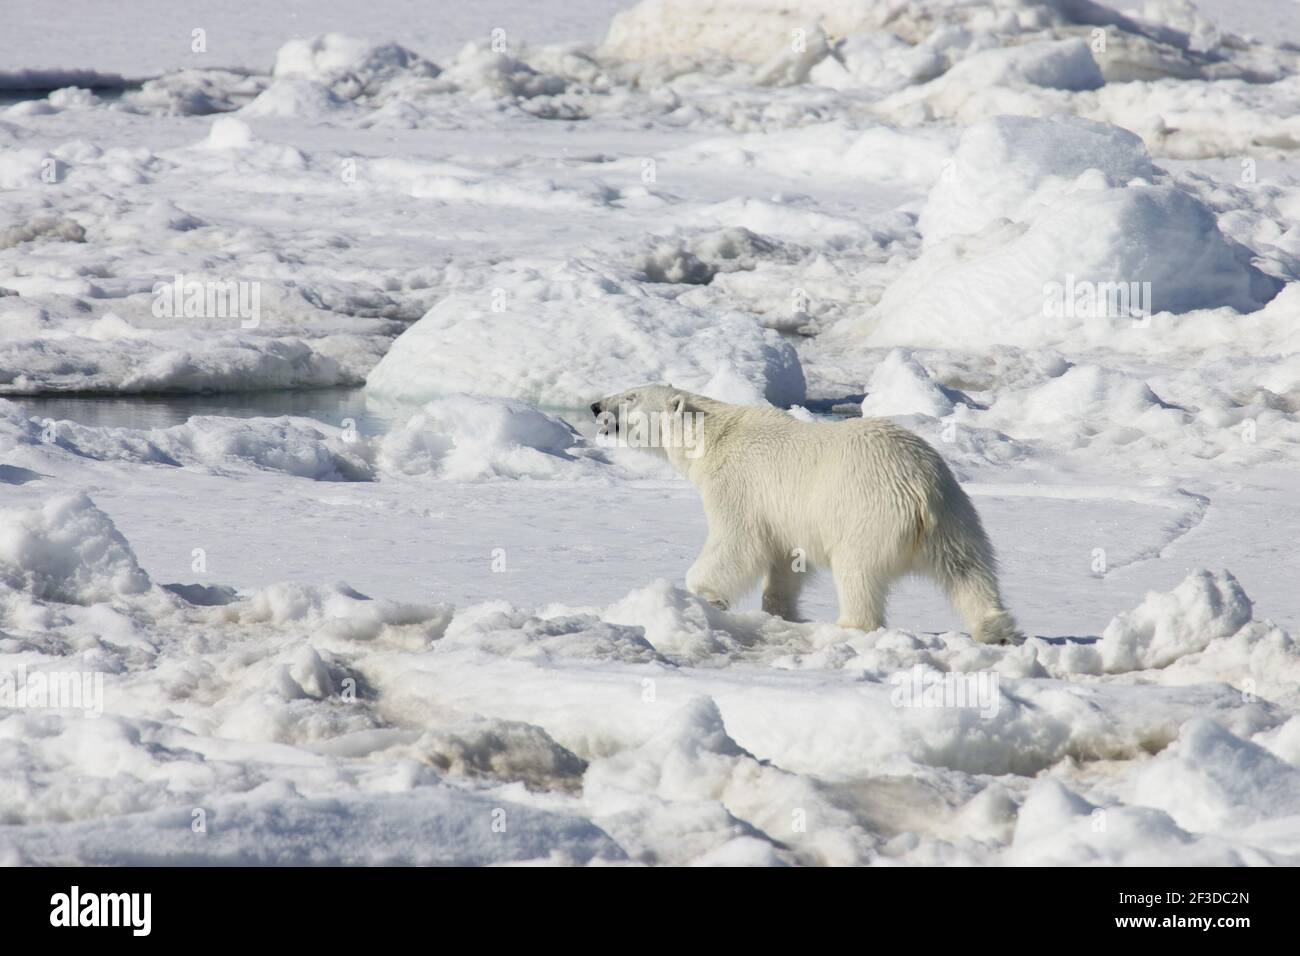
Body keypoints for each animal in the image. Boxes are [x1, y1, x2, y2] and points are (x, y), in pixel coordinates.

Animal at [591, 385, 1021, 644]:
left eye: (629, 397)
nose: (595, 405)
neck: (712, 437)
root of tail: (918, 489)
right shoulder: (782, 517)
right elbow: (784, 560)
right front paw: (780, 611)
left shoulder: (737, 485)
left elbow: (736, 541)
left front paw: (705, 595)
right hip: (955, 513)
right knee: (968, 570)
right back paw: (994, 629)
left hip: (866, 514)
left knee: (857, 573)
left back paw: (847, 624)